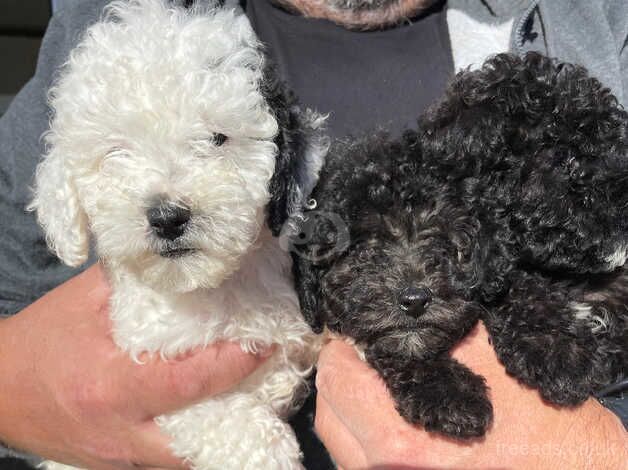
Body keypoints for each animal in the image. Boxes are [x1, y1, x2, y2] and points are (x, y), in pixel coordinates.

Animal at [30, 1, 326, 468]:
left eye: (218, 137)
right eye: (117, 151)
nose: (167, 217)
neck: (214, 288)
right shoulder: (162, 378)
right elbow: (224, 416)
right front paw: (268, 452)